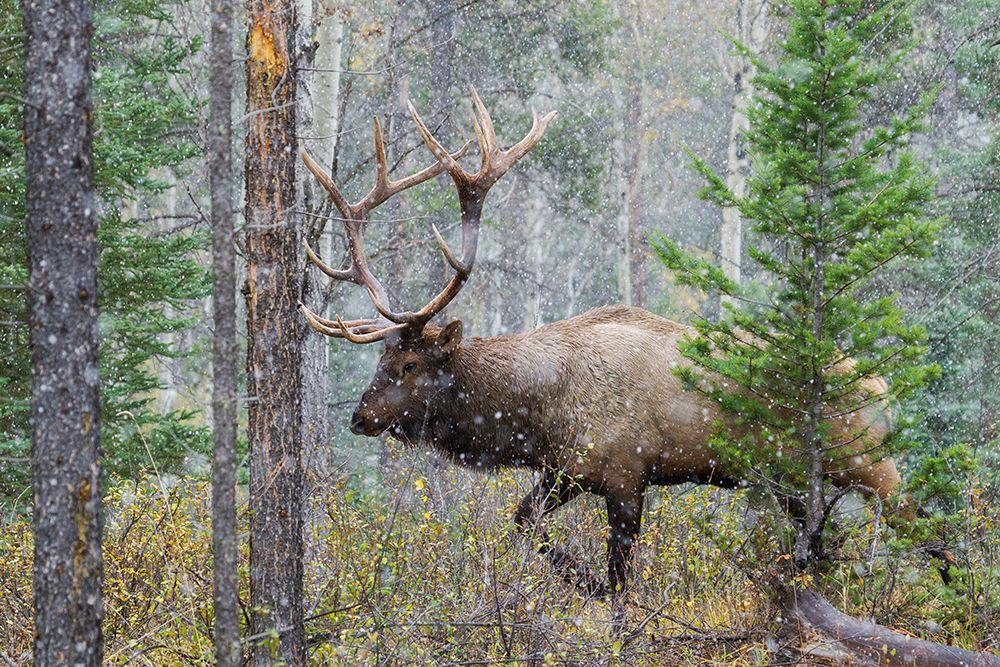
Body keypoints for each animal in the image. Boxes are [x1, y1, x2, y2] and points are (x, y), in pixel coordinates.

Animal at [298, 89, 947, 598]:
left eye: (409, 362)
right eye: (380, 356)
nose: (359, 417)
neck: (539, 414)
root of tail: (883, 385)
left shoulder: (626, 474)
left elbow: (618, 577)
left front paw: (598, 593)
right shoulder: (565, 471)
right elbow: (523, 522)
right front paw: (578, 577)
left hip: (867, 458)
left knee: (931, 531)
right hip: (794, 476)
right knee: (824, 541)